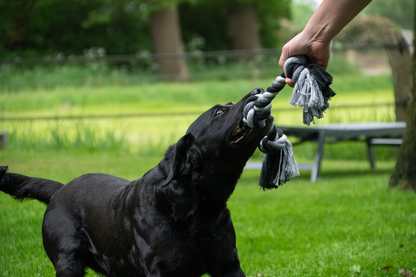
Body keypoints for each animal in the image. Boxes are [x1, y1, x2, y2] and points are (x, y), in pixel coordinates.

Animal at [0, 89, 276, 276]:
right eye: (219, 111)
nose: (257, 90)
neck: (195, 209)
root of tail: (61, 188)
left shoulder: (228, 264)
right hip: (68, 257)